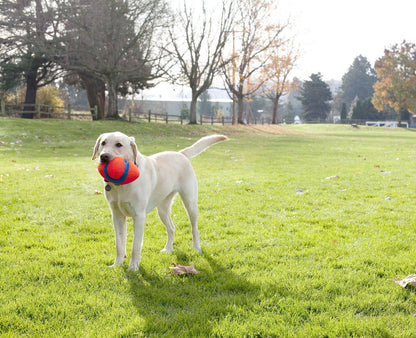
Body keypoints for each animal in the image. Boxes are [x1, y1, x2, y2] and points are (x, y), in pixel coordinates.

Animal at [92, 131, 228, 270]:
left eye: (119, 144)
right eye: (103, 143)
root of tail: (180, 153)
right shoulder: (117, 215)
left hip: (190, 204)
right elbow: (119, 244)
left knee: (194, 228)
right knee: (171, 228)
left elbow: (136, 246)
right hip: (162, 210)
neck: (122, 183)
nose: (104, 156)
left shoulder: (139, 216)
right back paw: (168, 249)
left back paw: (196, 248)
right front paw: (117, 264)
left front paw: (133, 267)